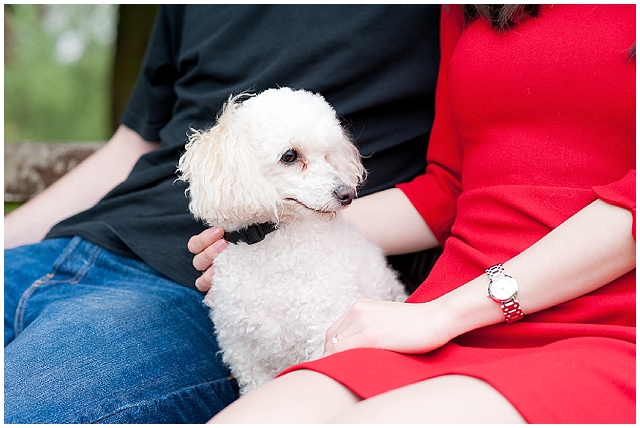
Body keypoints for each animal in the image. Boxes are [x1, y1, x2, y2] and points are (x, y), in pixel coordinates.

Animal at [176, 87, 404, 394]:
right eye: (289, 155)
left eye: (328, 156)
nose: (346, 193)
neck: (271, 241)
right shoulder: (242, 349)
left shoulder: (326, 331)